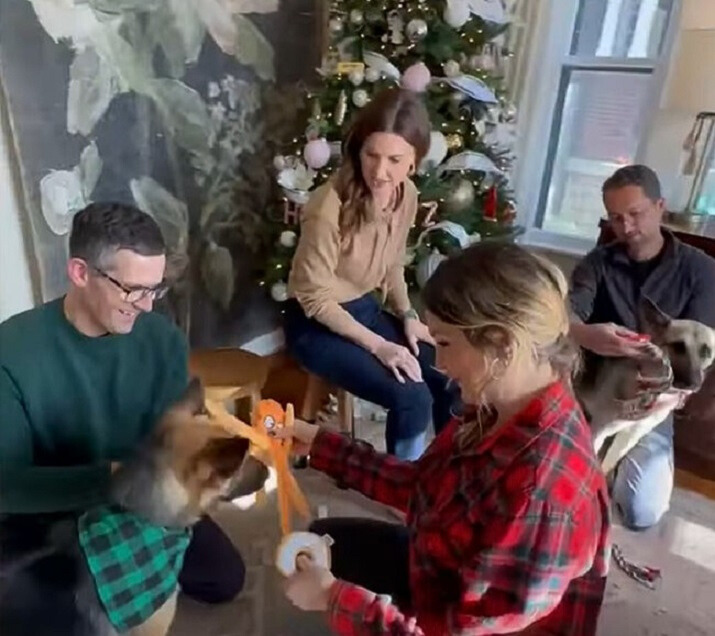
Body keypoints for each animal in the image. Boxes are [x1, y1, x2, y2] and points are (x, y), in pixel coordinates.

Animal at [580, 300, 715, 474]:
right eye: (678, 346)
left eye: (707, 352)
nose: (693, 384)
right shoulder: (599, 430)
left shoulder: (628, 437)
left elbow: (606, 465)